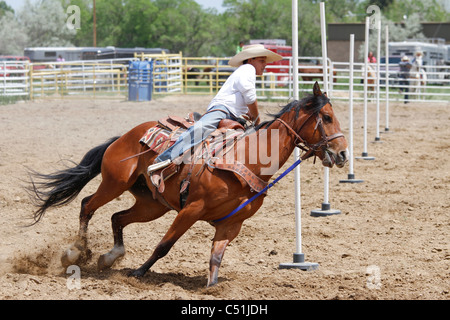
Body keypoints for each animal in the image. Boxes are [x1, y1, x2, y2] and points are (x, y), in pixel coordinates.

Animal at [29, 82, 348, 288]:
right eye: (327, 117)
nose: (343, 154)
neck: (247, 158)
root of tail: (124, 136)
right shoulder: (191, 209)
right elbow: (164, 245)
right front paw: (138, 274)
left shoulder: (232, 223)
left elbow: (216, 257)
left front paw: (212, 287)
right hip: (114, 183)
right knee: (87, 205)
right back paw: (76, 252)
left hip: (152, 204)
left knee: (116, 217)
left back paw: (110, 257)